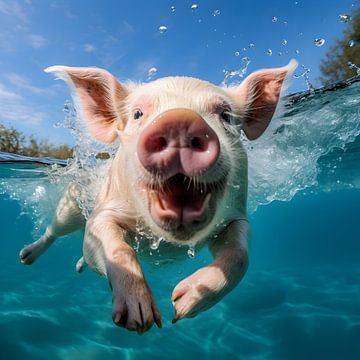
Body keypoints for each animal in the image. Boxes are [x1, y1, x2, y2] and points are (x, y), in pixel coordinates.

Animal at [18, 59, 296, 334]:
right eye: (138, 114)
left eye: (225, 115)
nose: (181, 120)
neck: (166, 239)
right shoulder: (102, 213)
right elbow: (117, 248)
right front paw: (140, 320)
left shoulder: (236, 216)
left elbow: (240, 255)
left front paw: (180, 306)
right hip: (72, 200)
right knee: (54, 230)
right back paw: (25, 257)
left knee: (83, 254)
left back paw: (76, 267)